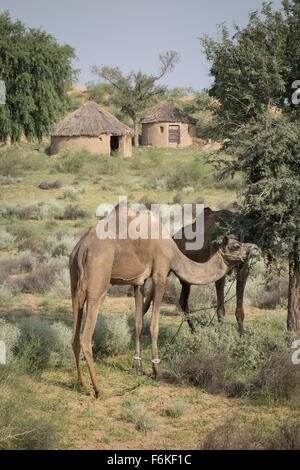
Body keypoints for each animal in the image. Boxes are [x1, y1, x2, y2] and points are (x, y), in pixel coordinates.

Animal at [69, 204, 258, 398]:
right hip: (98, 281)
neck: (172, 250)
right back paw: (98, 389)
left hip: (75, 282)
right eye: (236, 245)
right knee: (85, 338)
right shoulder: (160, 274)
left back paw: (82, 384)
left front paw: (137, 367)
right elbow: (154, 326)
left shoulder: (138, 281)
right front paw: (157, 370)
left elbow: (138, 324)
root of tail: (82, 248)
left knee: (74, 336)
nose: (255, 248)